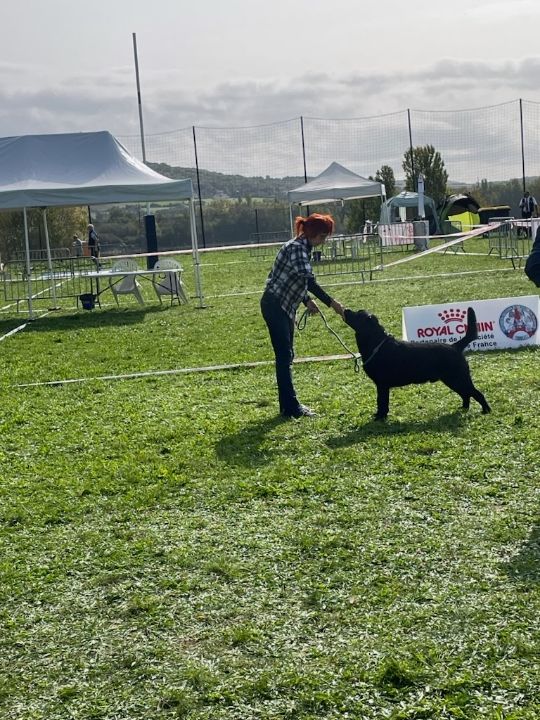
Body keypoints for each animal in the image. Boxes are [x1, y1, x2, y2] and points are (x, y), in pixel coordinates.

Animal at [344, 306, 492, 420]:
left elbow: (381, 402)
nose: (346, 309)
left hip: (458, 378)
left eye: (357, 314)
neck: (376, 343)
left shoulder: (382, 385)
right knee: (466, 394)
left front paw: (380, 417)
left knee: (476, 393)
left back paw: (486, 410)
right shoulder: (382, 385)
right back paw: (463, 408)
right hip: (453, 380)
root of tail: (455, 346)